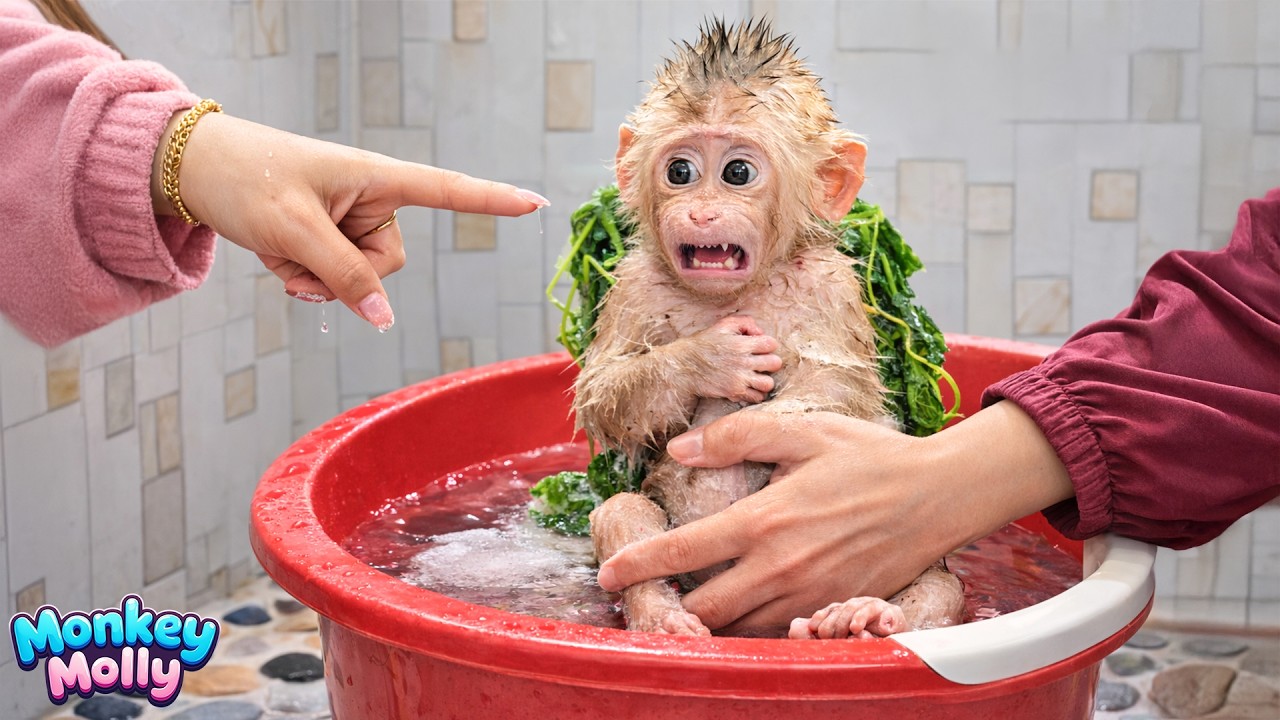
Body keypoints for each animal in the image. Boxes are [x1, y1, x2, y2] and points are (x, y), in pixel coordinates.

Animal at [574, 19, 965, 639]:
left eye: (738, 172)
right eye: (680, 171)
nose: (702, 212)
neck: (735, 292)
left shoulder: (831, 286)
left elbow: (837, 387)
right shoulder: (633, 285)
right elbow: (603, 392)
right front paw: (712, 360)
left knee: (935, 579)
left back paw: (867, 615)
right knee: (623, 513)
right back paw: (662, 615)